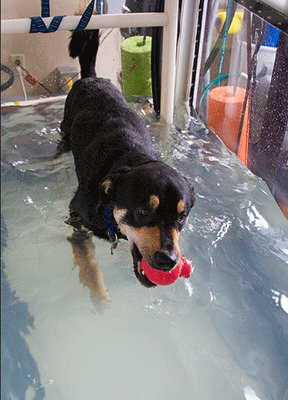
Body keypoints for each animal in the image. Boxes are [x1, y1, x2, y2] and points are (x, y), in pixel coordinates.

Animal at [57, 30, 195, 300]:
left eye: (181, 216)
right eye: (142, 212)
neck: (132, 159)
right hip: (66, 128)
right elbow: (87, 261)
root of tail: (90, 78)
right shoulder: (76, 217)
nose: (169, 261)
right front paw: (99, 297)